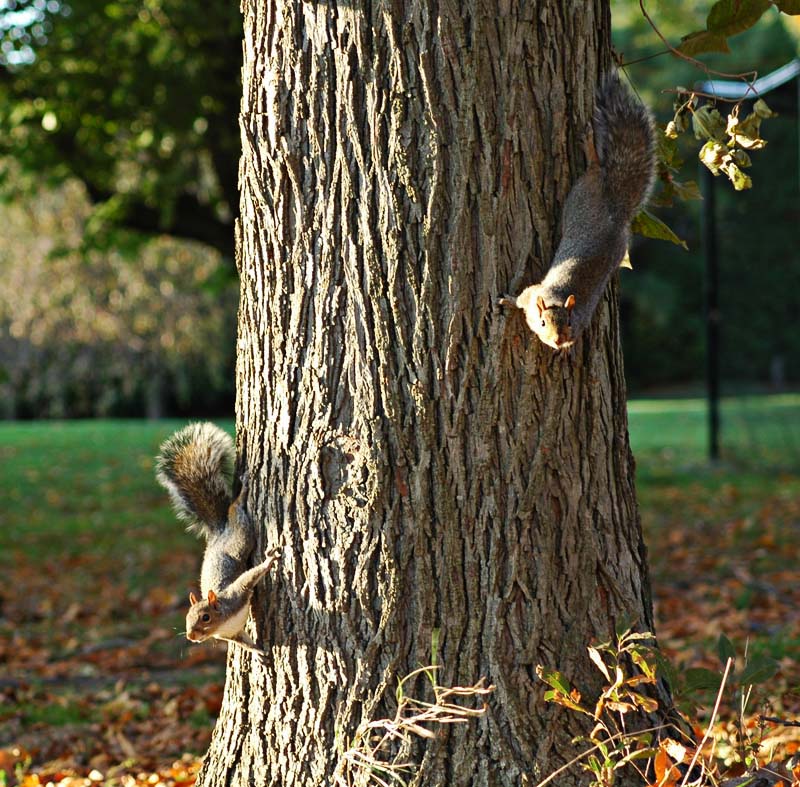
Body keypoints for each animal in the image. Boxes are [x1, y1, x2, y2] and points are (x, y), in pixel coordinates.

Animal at [156, 424, 282, 652]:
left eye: (205, 617)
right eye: (187, 618)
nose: (191, 637)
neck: (223, 622)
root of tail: (219, 530)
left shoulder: (237, 594)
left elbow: (249, 576)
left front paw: (269, 561)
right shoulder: (231, 634)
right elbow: (244, 642)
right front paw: (259, 652)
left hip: (241, 537)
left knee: (235, 508)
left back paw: (242, 494)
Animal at [500, 70, 656, 348]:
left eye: (570, 324)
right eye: (543, 323)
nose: (559, 341)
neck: (556, 299)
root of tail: (615, 210)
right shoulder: (531, 294)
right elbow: (520, 299)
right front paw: (508, 301)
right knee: (595, 167)